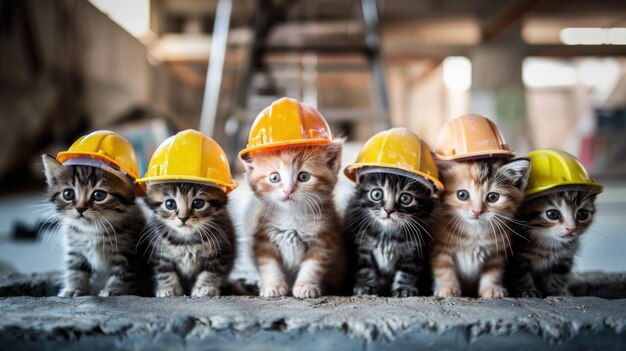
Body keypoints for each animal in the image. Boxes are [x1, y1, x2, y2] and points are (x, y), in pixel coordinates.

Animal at [40, 155, 146, 296]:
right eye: (68, 194)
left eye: (99, 195)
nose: (80, 209)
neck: (92, 231)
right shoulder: (75, 249)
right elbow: (75, 269)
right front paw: (74, 289)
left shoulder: (130, 253)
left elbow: (123, 274)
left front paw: (113, 291)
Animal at [240, 142, 346, 300]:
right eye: (274, 178)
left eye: (304, 176)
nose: (288, 191)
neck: (292, 215)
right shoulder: (264, 237)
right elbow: (268, 264)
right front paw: (273, 286)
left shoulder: (325, 236)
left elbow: (313, 265)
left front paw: (305, 286)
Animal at [428, 160, 528, 300]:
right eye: (462, 195)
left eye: (493, 197)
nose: (477, 211)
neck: (475, 233)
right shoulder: (440, 247)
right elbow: (444, 268)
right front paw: (448, 287)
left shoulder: (497, 252)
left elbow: (493, 272)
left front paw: (491, 288)